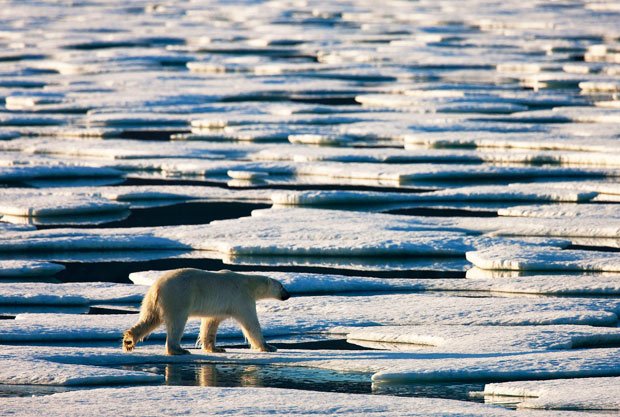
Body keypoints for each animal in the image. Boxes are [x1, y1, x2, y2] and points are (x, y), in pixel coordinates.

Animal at [121, 270, 290, 354]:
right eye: (282, 286)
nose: (288, 295)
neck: (248, 284)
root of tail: (157, 287)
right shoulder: (241, 299)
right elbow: (251, 324)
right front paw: (269, 347)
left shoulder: (219, 307)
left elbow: (210, 323)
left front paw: (216, 348)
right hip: (178, 297)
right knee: (176, 323)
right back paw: (179, 350)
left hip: (151, 301)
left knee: (149, 319)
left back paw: (129, 340)